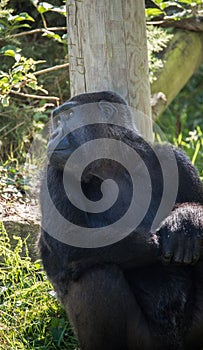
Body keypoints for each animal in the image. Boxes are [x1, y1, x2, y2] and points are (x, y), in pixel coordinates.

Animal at [39, 91, 203, 350]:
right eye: (57, 120)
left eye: (69, 115)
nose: (53, 135)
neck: (115, 162)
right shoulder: (53, 172)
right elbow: (74, 243)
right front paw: (179, 231)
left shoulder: (175, 159)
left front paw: (187, 220)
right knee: (98, 272)